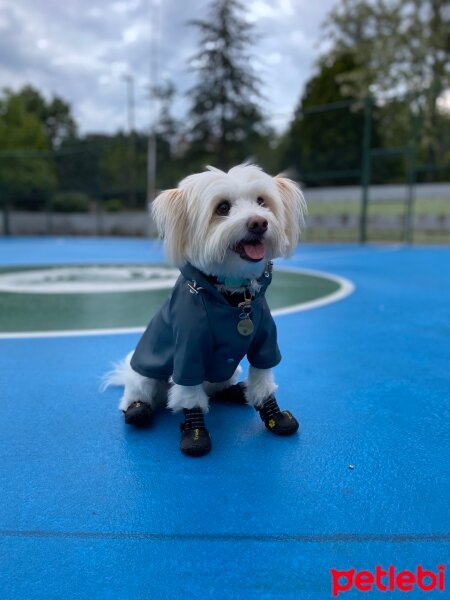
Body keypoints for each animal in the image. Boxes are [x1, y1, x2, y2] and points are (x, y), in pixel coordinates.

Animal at [103, 164, 306, 454]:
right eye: (222, 208)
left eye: (262, 201)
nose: (259, 222)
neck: (234, 297)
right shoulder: (189, 353)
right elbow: (190, 397)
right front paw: (195, 433)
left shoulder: (265, 343)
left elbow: (263, 381)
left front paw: (275, 416)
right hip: (144, 374)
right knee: (137, 396)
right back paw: (137, 409)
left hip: (229, 370)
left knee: (217, 387)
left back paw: (235, 391)